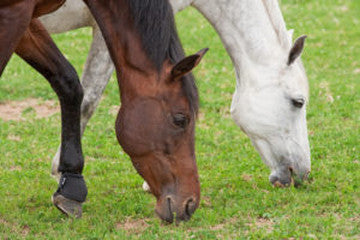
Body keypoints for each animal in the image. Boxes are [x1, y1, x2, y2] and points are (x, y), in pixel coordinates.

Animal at [0, 0, 207, 223]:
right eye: (180, 119)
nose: (190, 203)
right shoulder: (13, 14)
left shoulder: (26, 19)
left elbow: (69, 82)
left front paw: (71, 184)